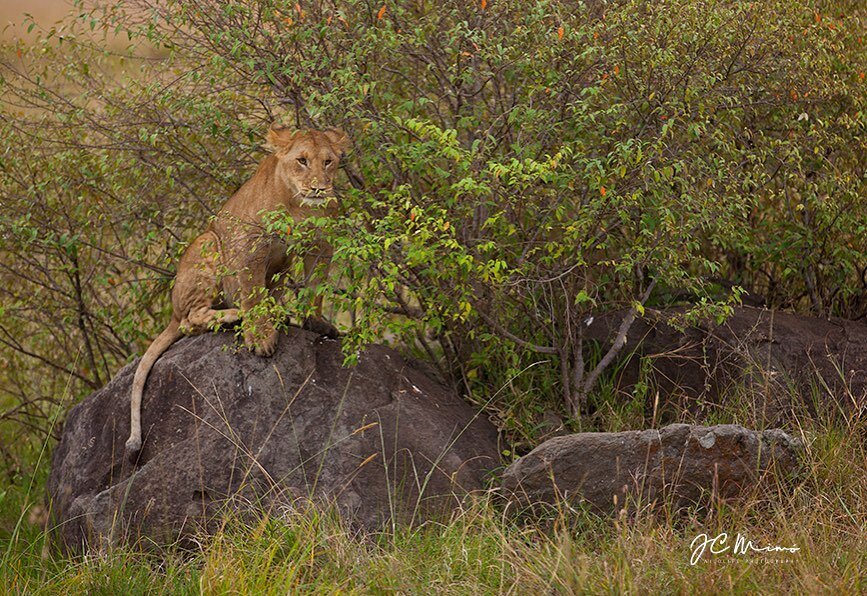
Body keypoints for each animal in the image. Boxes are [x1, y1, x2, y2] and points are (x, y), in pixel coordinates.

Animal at [125, 124, 350, 460]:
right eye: (302, 160)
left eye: (328, 162)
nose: (319, 189)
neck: (298, 204)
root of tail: (172, 313)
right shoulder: (250, 246)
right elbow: (253, 293)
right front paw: (261, 338)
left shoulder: (320, 242)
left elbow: (315, 288)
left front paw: (317, 323)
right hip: (208, 242)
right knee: (192, 320)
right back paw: (235, 314)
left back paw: (277, 314)